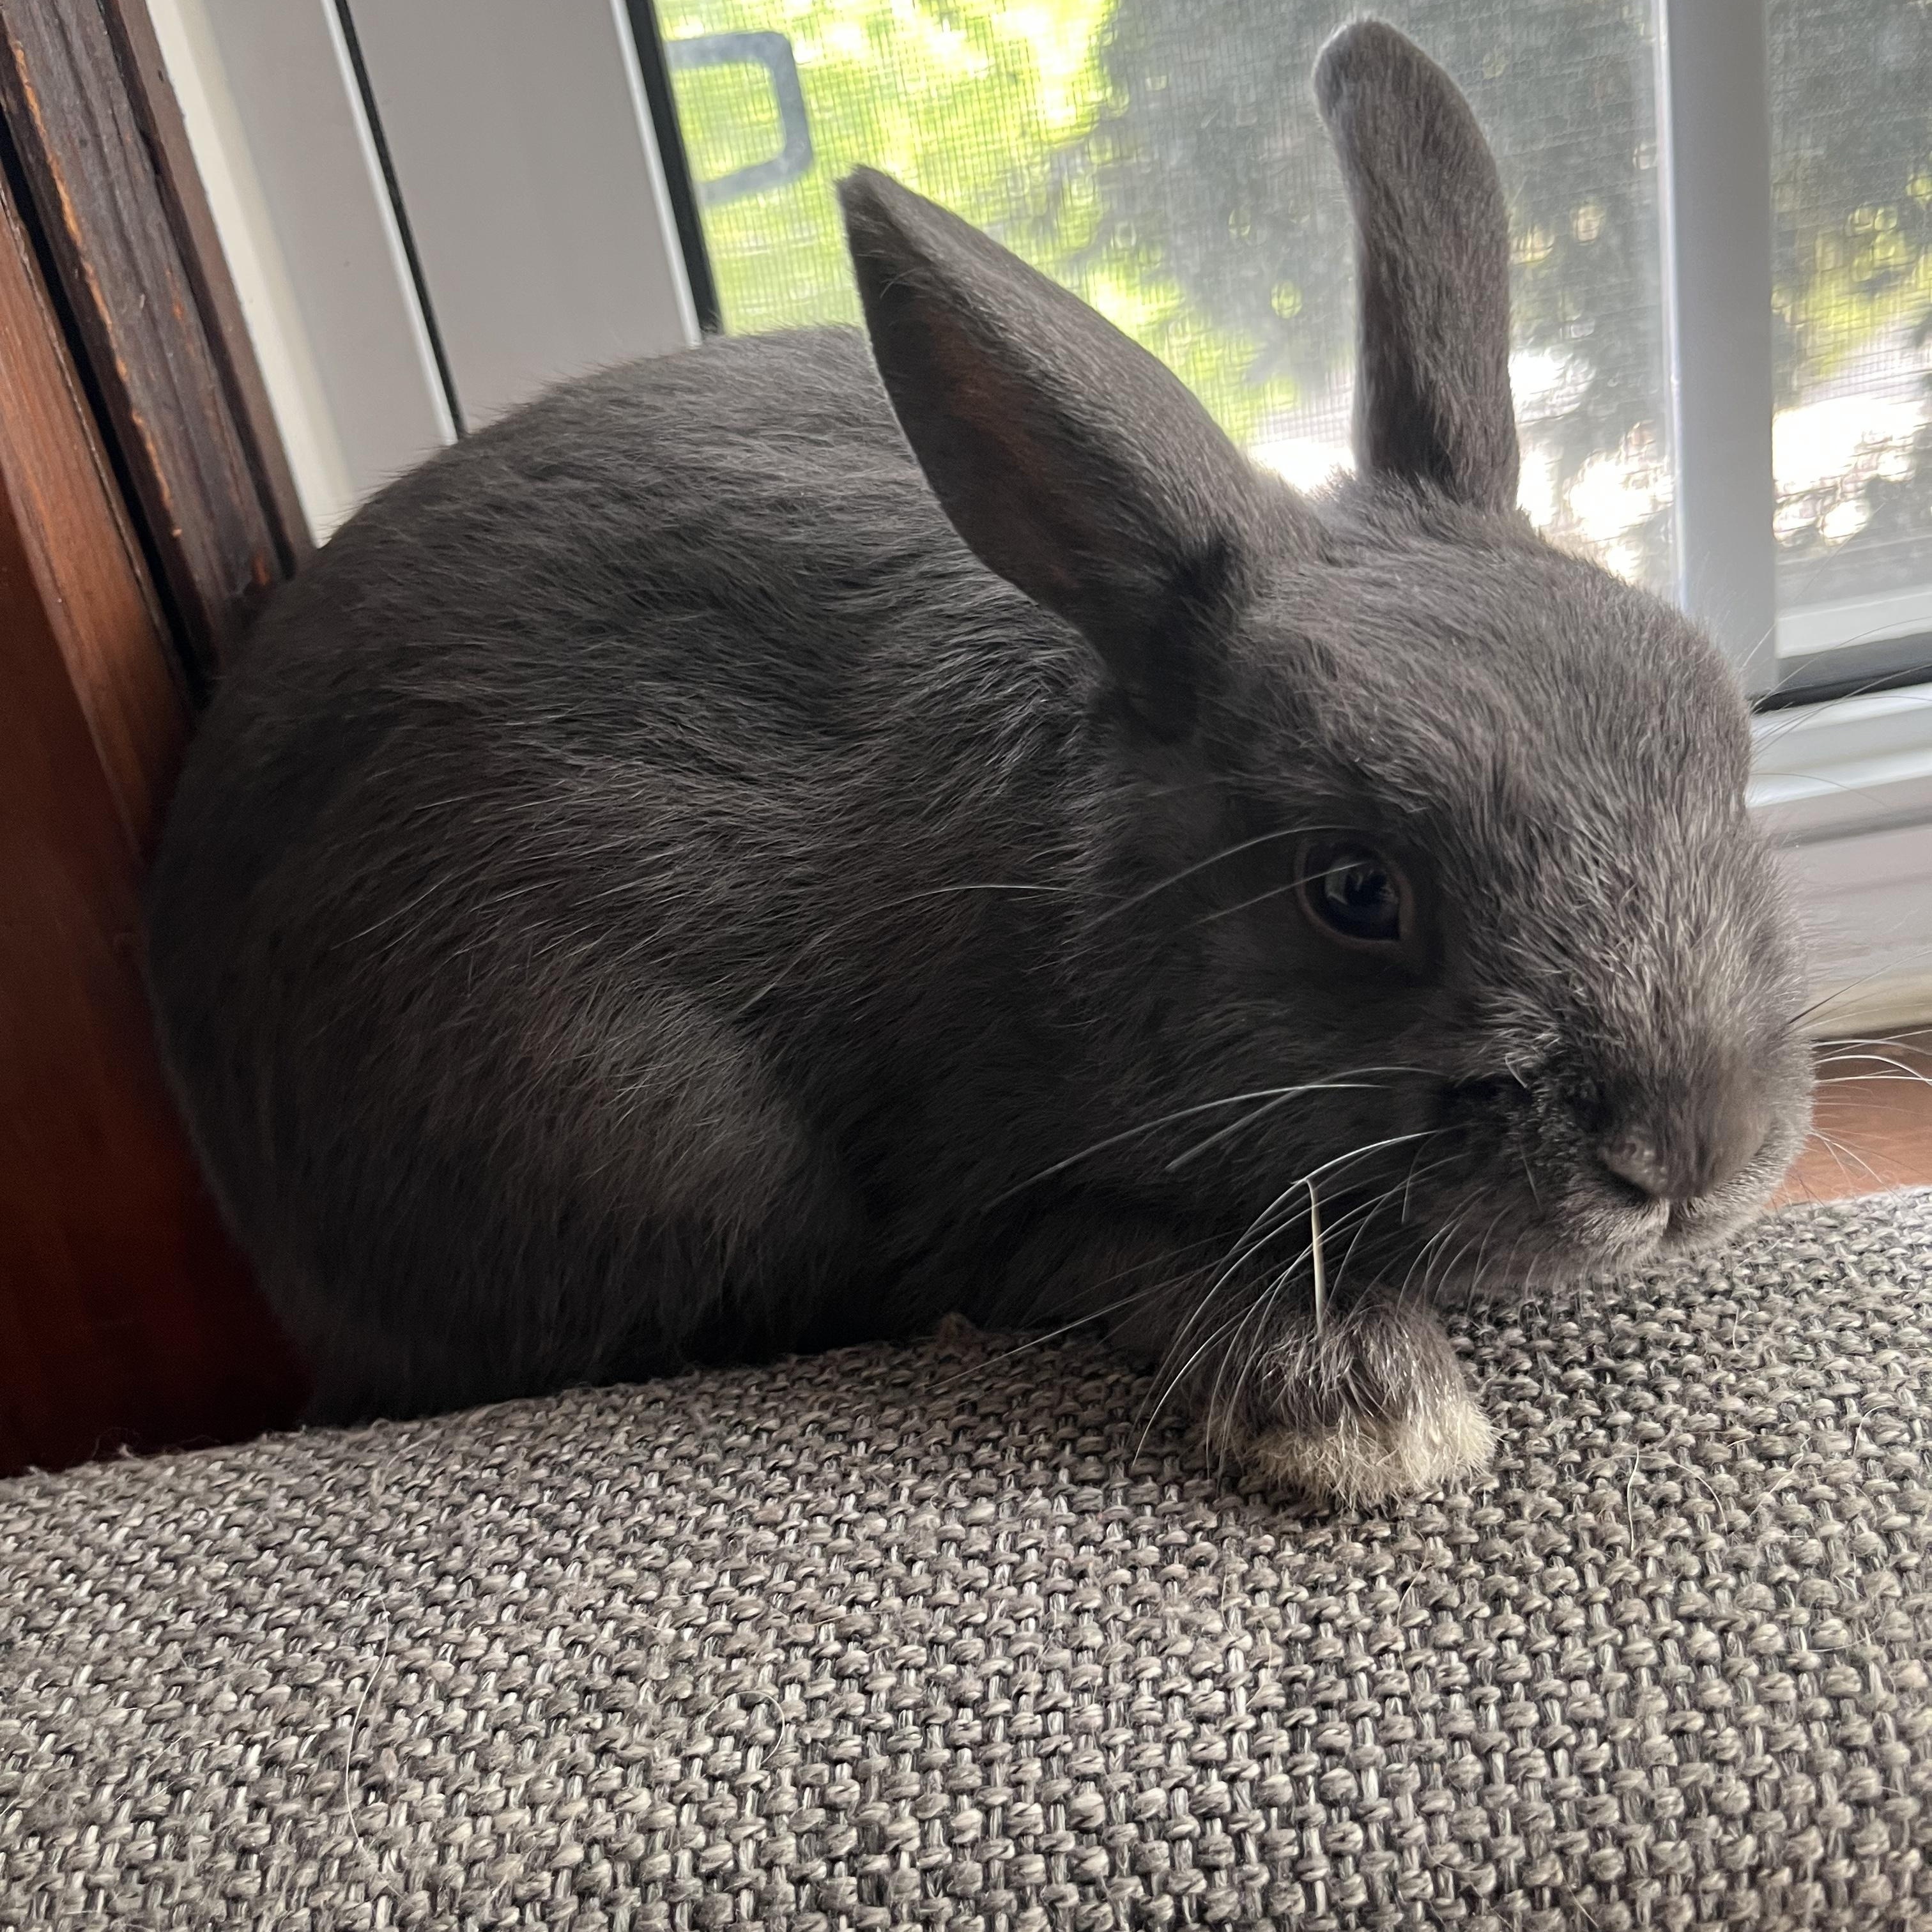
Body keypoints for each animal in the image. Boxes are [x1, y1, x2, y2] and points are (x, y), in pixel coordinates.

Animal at [145, 20, 1813, 1506]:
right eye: (1352, 891)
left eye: (1724, 757)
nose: (1693, 1147)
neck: (1079, 914)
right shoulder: (960, 1207)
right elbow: (1097, 1257)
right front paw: (1363, 1408)